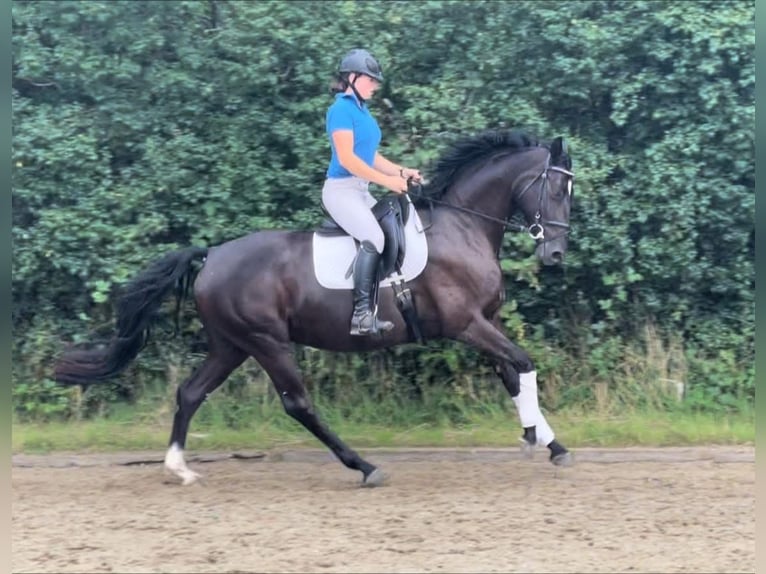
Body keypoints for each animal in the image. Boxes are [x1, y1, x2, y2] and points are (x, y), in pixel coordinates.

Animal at [55, 130, 576, 486]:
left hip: (231, 345)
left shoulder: (485, 321)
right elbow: (522, 363)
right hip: (265, 341)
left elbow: (512, 373)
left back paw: (179, 468)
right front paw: (537, 438)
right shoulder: (466, 323)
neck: (462, 226)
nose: (555, 254)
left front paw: (547, 441)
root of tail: (212, 255)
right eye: (555, 189)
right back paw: (364, 466)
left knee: (190, 393)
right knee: (298, 404)